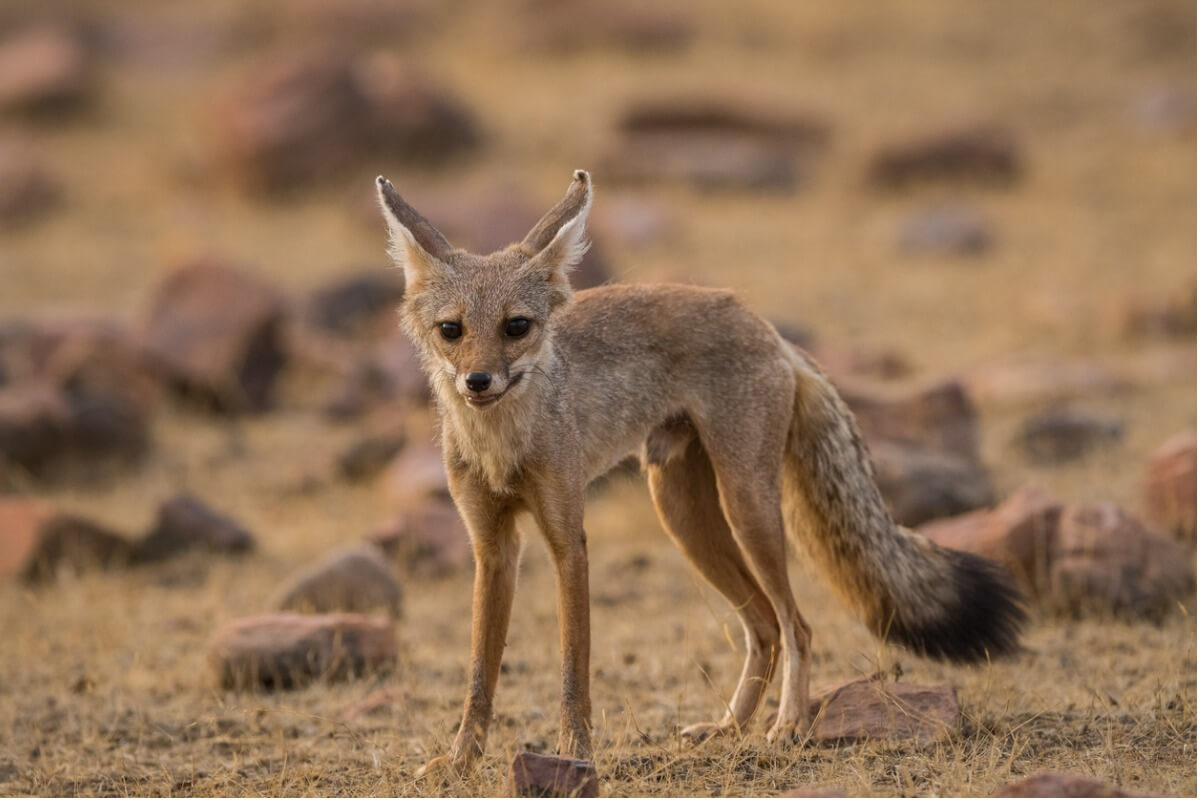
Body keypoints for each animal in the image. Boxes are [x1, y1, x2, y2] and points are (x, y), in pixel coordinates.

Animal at [375, 169, 1025, 775]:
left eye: (517, 327)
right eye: (451, 330)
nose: (477, 382)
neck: (501, 446)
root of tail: (767, 328)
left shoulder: (569, 541)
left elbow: (573, 670)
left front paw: (575, 754)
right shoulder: (491, 547)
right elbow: (479, 673)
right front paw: (460, 761)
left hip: (747, 509)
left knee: (796, 625)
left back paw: (787, 726)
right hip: (683, 518)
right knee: (763, 627)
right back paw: (728, 728)